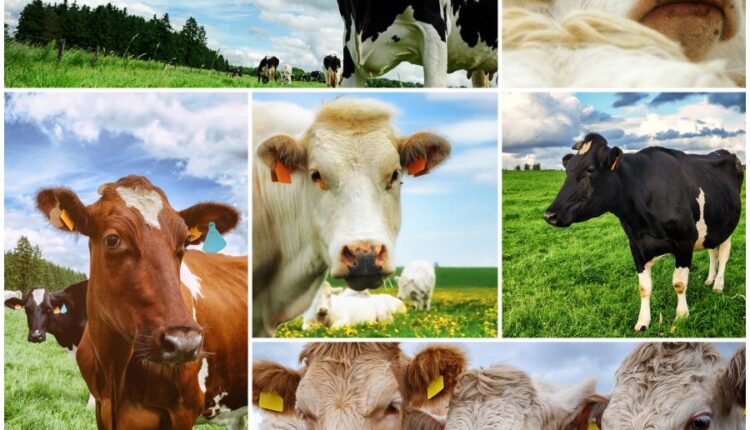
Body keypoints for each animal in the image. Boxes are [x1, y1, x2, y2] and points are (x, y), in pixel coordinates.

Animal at [36, 176, 248, 429]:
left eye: (186, 241)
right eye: (113, 239)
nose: (184, 343)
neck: (115, 370)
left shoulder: (184, 410)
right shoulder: (101, 406)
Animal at [543, 133, 743, 332]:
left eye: (590, 170)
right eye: (568, 170)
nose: (549, 215)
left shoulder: (685, 241)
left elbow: (679, 284)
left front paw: (681, 317)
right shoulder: (636, 244)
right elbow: (644, 287)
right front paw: (643, 321)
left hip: (727, 226)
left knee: (723, 255)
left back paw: (718, 285)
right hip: (711, 227)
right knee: (712, 252)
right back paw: (710, 280)